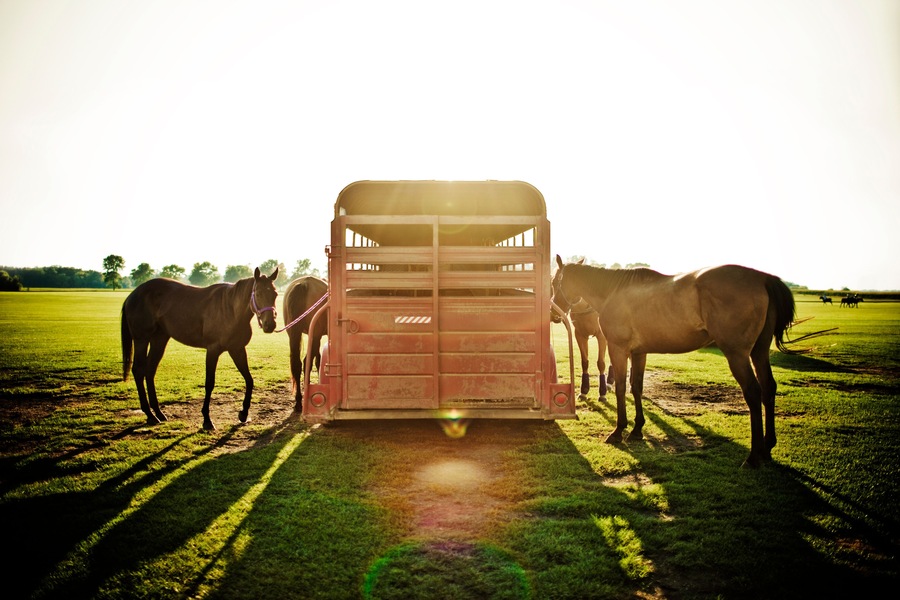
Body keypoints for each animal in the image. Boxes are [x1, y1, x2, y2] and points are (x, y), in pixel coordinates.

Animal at [121, 267, 279, 430]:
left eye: (275, 294)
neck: (231, 309)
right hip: (141, 340)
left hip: (159, 339)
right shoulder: (213, 350)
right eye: (258, 294)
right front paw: (207, 420)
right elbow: (209, 383)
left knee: (150, 371)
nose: (270, 325)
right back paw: (150, 414)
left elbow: (249, 380)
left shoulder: (237, 349)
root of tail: (133, 295)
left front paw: (243, 413)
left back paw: (158, 413)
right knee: (139, 371)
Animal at [283, 275, 328, 411]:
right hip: (315, 335)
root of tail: (304, 284)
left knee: (298, 364)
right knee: (306, 361)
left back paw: (298, 400)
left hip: (294, 333)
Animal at [551, 256, 799, 468]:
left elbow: (621, 388)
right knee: (768, 388)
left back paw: (753, 457)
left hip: (737, 355)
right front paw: (637, 429)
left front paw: (619, 430)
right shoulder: (639, 353)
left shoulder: (617, 349)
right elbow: (636, 387)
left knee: (753, 392)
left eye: (554, 282)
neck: (613, 291)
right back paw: (767, 448)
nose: (554, 314)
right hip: (759, 352)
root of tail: (762, 278)